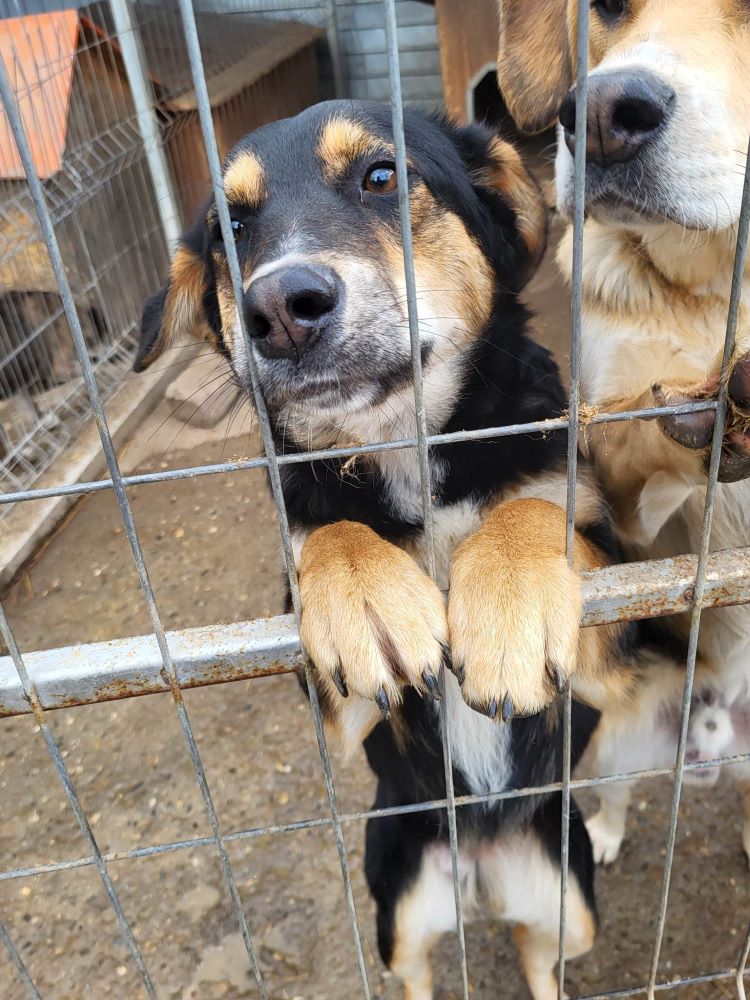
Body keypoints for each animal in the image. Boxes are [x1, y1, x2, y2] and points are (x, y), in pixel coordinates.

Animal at [137, 101, 636, 1000]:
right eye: (230, 228)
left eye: (381, 175)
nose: (280, 309)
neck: (405, 451)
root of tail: (481, 870)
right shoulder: (339, 713)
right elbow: (328, 537)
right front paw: (367, 599)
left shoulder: (617, 632)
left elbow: (534, 513)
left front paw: (508, 601)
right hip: (395, 900)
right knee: (421, 970)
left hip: (572, 901)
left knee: (543, 955)